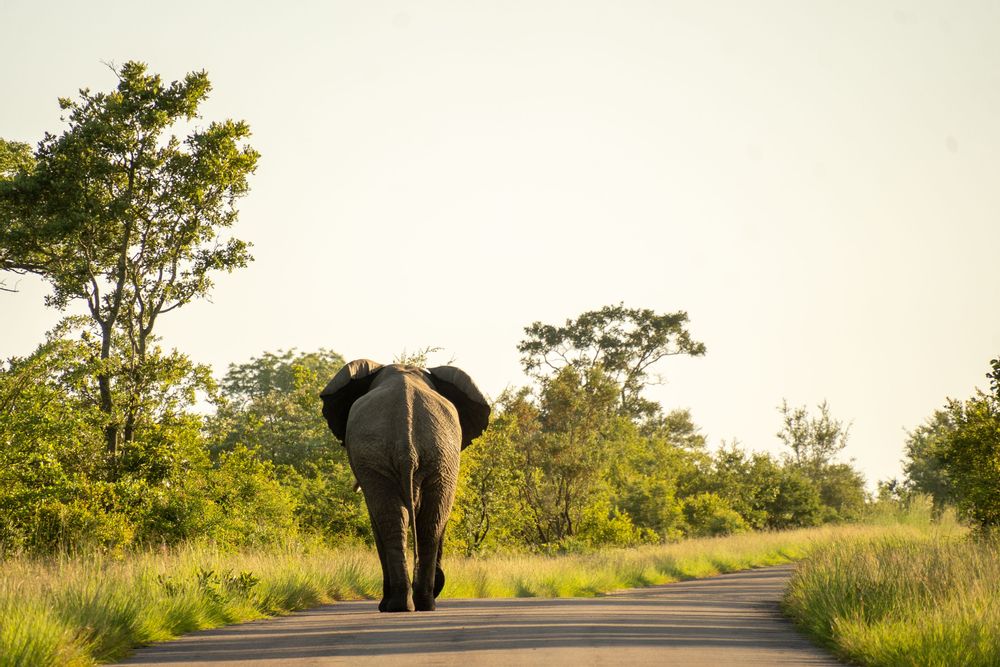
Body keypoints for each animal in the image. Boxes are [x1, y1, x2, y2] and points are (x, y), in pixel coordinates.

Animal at [320, 359, 490, 612]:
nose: (442, 580)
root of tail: (405, 445)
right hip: (427, 457)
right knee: (421, 522)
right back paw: (414, 604)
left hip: (434, 457)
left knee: (406, 521)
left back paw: (407, 605)